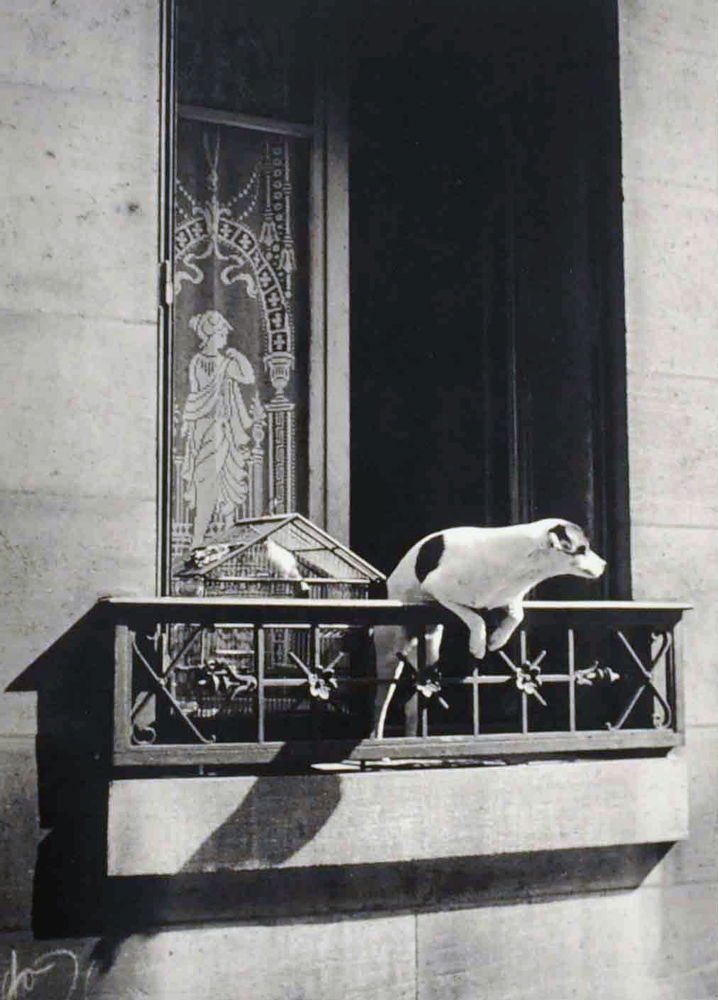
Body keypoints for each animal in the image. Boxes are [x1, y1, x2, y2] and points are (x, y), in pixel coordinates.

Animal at [376, 520, 608, 740]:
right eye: (583, 548)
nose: (605, 565)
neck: (522, 561)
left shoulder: (509, 600)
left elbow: (517, 616)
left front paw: (497, 639)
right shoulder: (436, 588)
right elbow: (475, 618)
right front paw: (478, 645)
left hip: (429, 653)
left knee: (413, 705)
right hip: (388, 655)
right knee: (381, 705)